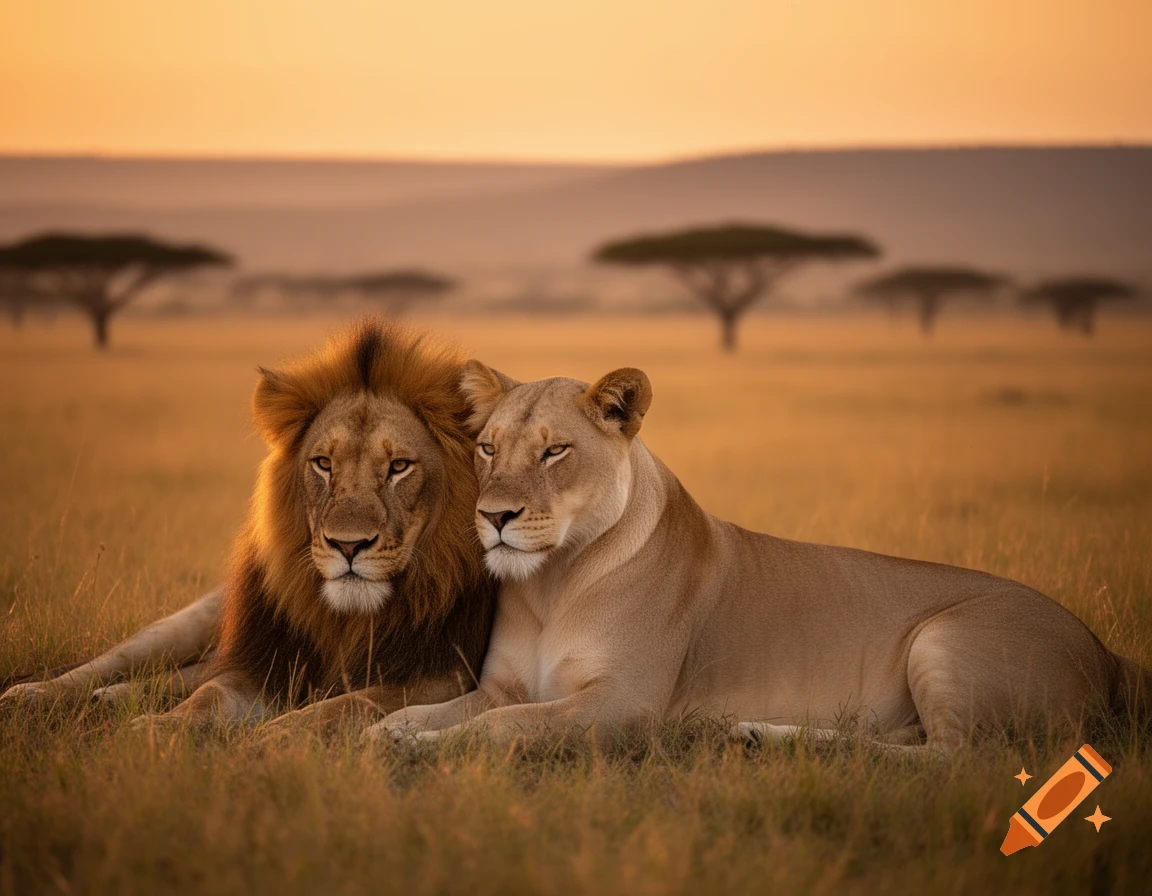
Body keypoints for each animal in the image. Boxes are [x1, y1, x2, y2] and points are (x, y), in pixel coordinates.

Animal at [3, 321, 497, 729]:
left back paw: (110, 698)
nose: (347, 546)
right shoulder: (267, 663)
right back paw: (31, 695)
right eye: (323, 464)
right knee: (137, 662)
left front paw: (274, 738)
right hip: (194, 622)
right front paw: (158, 729)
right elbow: (208, 695)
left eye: (399, 467)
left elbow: (347, 704)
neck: (350, 620)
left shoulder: (442, 676)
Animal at [367, 363, 1151, 754]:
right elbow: (445, 707)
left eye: (555, 451)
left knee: (951, 759)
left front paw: (423, 746)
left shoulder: (624, 704)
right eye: (487, 448)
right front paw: (391, 729)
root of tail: (1108, 653)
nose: (493, 517)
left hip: (945, 638)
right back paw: (749, 732)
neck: (554, 581)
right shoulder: (503, 683)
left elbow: (500, 728)